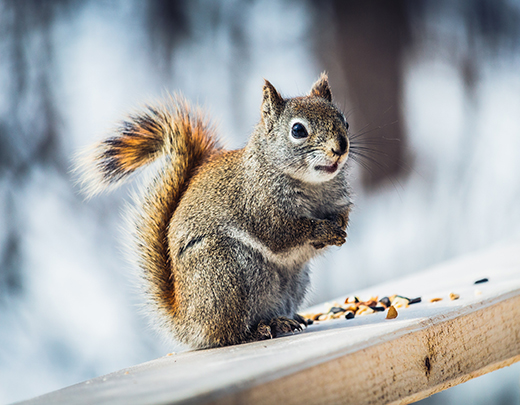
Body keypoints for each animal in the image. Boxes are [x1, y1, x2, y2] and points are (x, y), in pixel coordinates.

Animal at [77, 72, 352, 348]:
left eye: (345, 121)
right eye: (298, 130)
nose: (341, 147)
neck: (312, 184)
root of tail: (188, 320)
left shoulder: (336, 199)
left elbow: (341, 214)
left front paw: (339, 226)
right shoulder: (257, 207)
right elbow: (283, 233)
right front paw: (323, 231)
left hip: (291, 281)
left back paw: (286, 320)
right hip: (222, 275)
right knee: (227, 335)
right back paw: (259, 330)